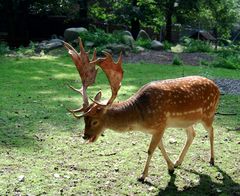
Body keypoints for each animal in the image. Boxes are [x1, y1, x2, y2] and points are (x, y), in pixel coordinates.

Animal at [63, 38, 219, 181]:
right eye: (84, 119)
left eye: (95, 121)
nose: (85, 136)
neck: (140, 119)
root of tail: (217, 87)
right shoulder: (157, 128)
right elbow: (160, 147)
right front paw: (170, 167)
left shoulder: (160, 124)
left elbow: (150, 150)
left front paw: (143, 175)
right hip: (187, 121)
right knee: (192, 134)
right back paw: (178, 162)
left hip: (208, 113)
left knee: (211, 131)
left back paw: (212, 160)